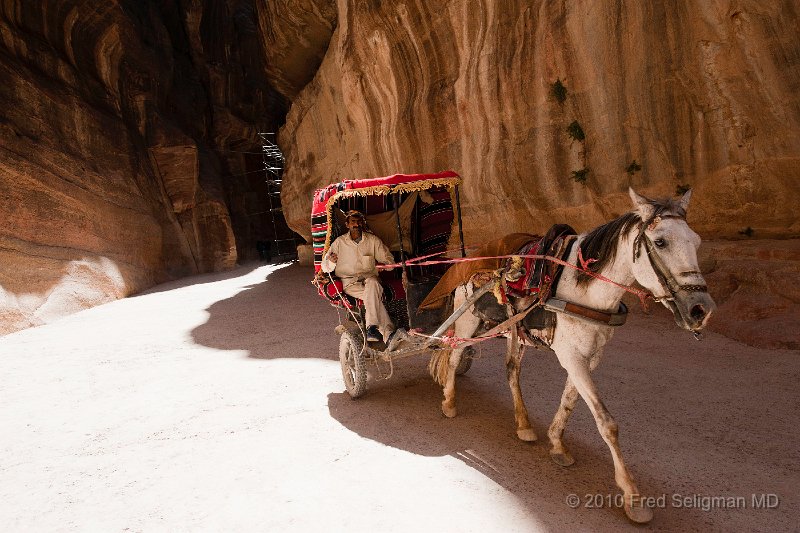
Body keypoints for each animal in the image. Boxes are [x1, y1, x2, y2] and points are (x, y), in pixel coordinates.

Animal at [434, 188, 716, 524]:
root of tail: (470, 256)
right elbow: (606, 423)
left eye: (696, 241)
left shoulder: (588, 356)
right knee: (453, 356)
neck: (584, 289)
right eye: (660, 242)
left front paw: (557, 444)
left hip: (514, 331)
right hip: (467, 321)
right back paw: (449, 402)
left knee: (511, 370)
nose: (700, 310)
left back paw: (523, 424)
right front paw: (633, 496)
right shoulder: (572, 357)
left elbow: (569, 401)